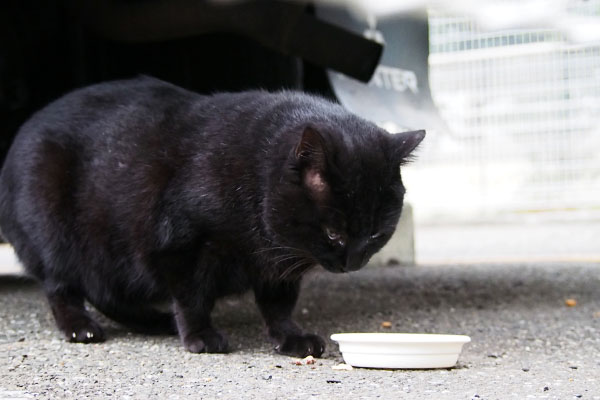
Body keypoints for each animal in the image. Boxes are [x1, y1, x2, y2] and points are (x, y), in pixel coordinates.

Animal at [0, 76, 424, 358]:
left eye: (376, 235)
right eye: (334, 233)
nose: (352, 263)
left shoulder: (278, 267)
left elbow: (279, 305)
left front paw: (291, 337)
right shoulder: (178, 247)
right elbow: (192, 297)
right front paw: (201, 336)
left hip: (112, 257)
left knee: (107, 292)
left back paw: (155, 322)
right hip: (57, 234)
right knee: (63, 287)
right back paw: (81, 328)